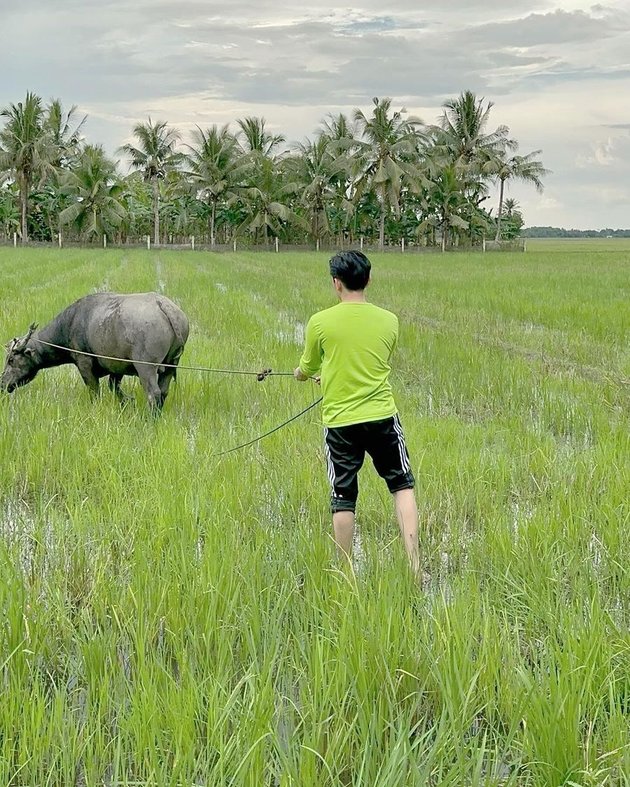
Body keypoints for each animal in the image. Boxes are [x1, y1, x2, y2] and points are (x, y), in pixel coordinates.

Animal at [1, 292, 191, 410]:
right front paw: (127, 401)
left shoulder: (84, 363)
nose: (2, 383)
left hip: (146, 367)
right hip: (171, 364)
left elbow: (94, 390)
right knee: (164, 391)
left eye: (11, 360)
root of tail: (163, 305)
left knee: (154, 393)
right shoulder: (116, 367)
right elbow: (113, 386)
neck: (70, 324)